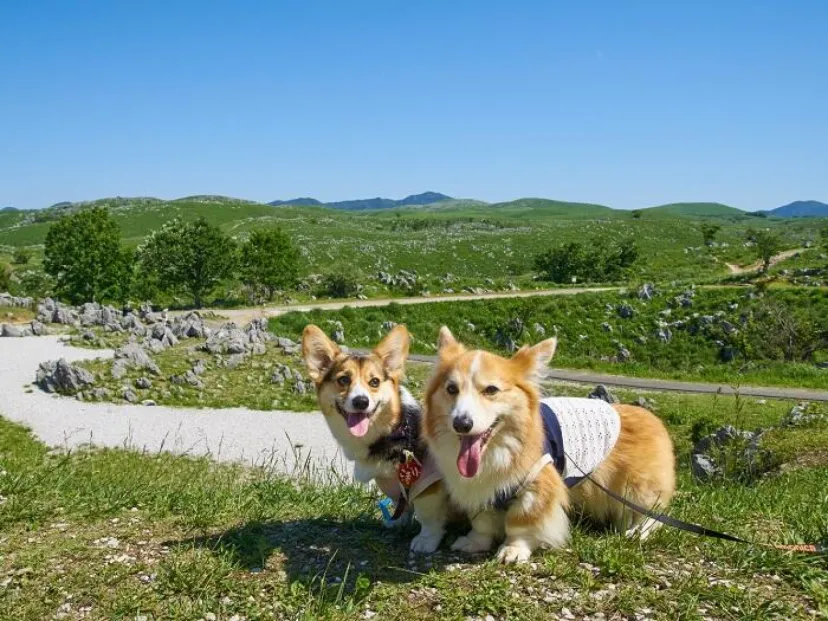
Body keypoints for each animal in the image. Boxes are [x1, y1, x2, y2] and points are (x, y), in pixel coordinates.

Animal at [302, 324, 450, 552]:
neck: (393, 431)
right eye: (343, 380)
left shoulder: (430, 485)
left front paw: (425, 541)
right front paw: (397, 522)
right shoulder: (393, 485)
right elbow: (401, 504)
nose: (361, 401)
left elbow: (428, 517)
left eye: (374, 382)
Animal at [424, 326, 676, 564]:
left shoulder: (537, 484)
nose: (461, 423)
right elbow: (482, 523)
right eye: (451, 389)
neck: (497, 449)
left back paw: (637, 531)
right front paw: (474, 542)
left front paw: (513, 550)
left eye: (491, 390)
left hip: (634, 488)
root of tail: (651, 417)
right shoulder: (481, 490)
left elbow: (520, 523)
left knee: (653, 514)